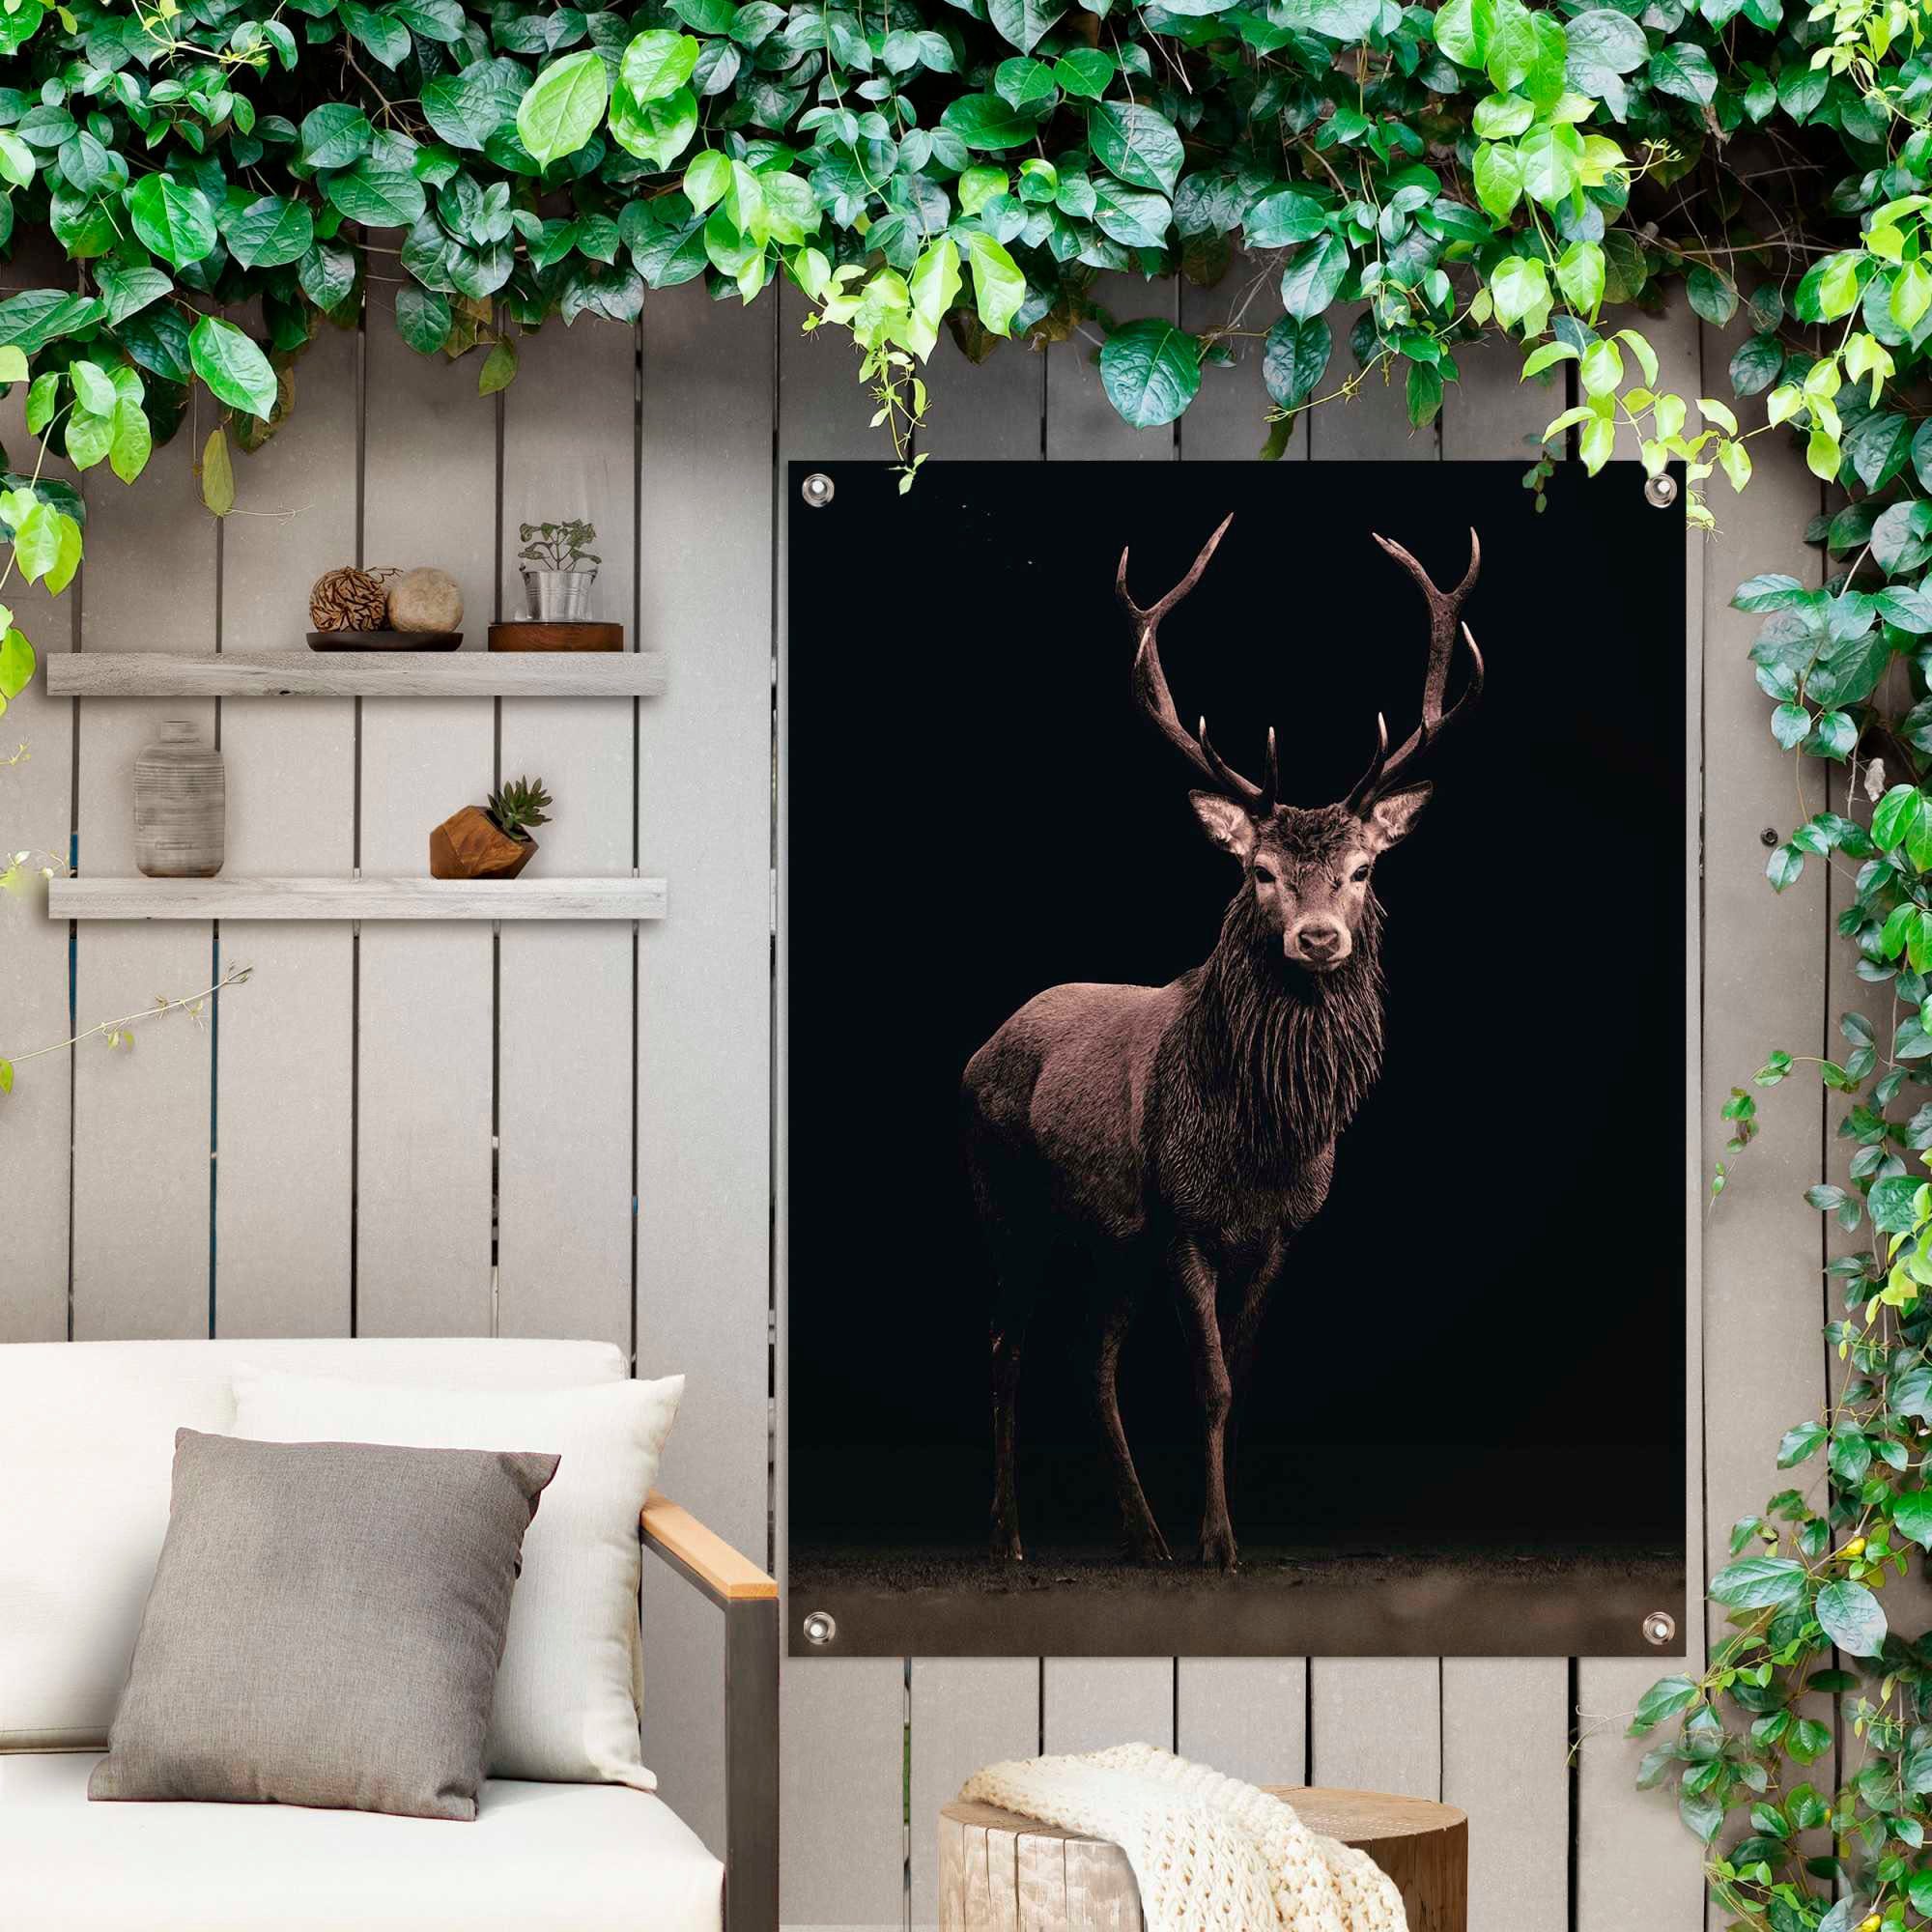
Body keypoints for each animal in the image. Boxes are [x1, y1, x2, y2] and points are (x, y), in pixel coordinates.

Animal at [961, 515, 1484, 1573]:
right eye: (1260, 870)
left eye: (1362, 868)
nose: (1316, 938)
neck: (1261, 1143)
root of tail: (977, 1052)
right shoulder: (1182, 1218)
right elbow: (1204, 1380)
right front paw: (1218, 1540)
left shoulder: (1279, 1231)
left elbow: (1237, 1381)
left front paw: (1215, 1525)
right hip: (1006, 1196)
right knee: (1007, 1345)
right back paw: (1010, 1535)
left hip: (1110, 1234)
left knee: (1089, 1353)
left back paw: (1141, 1532)